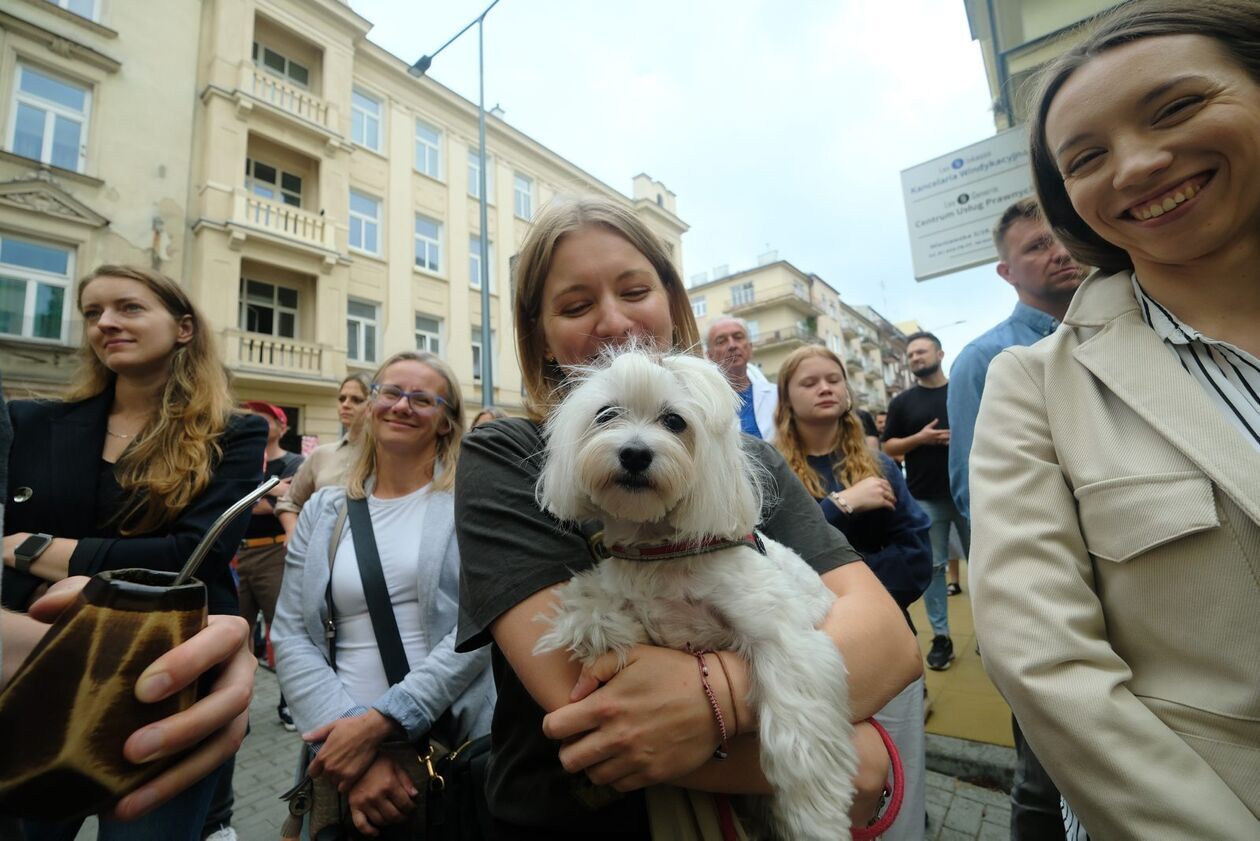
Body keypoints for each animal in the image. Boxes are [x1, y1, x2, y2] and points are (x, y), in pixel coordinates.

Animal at [531, 345, 856, 837]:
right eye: (606, 414)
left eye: (675, 422)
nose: (635, 453)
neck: (663, 552)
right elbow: (593, 610)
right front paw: (602, 627)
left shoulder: (784, 641)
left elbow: (798, 728)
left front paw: (814, 819)